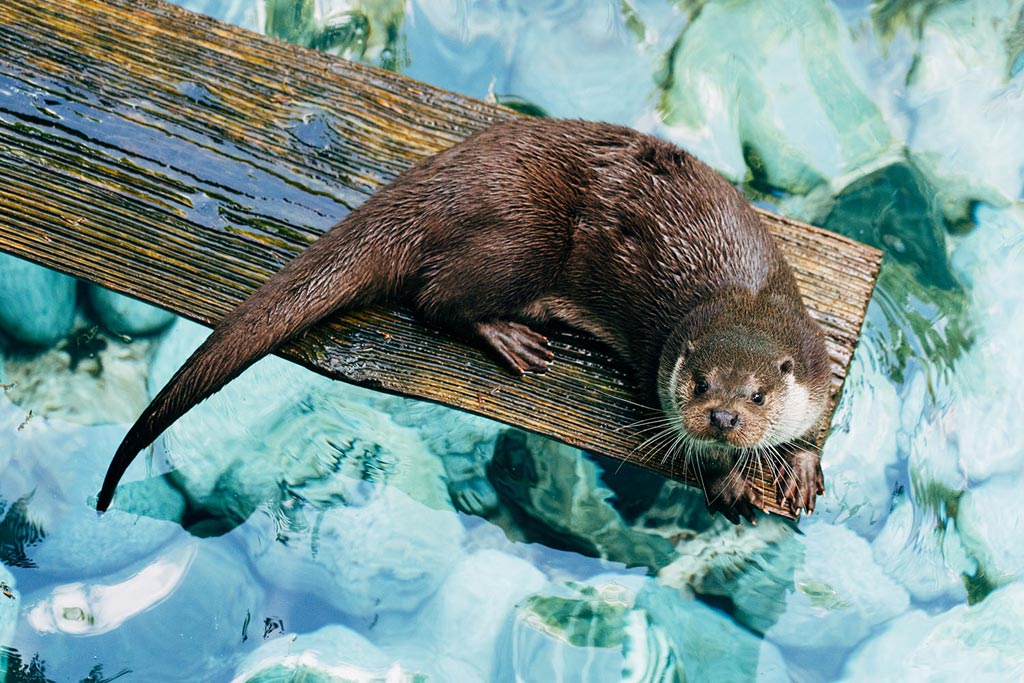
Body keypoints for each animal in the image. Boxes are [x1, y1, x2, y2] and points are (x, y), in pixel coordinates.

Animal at [95, 118, 831, 522]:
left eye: (757, 394)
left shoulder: (815, 355)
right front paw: (728, 475)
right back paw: (511, 338)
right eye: (700, 384)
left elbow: (816, 418)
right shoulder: (659, 362)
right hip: (525, 239)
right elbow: (675, 437)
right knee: (436, 295)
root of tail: (438, 180)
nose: (724, 418)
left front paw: (799, 463)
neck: (744, 294)